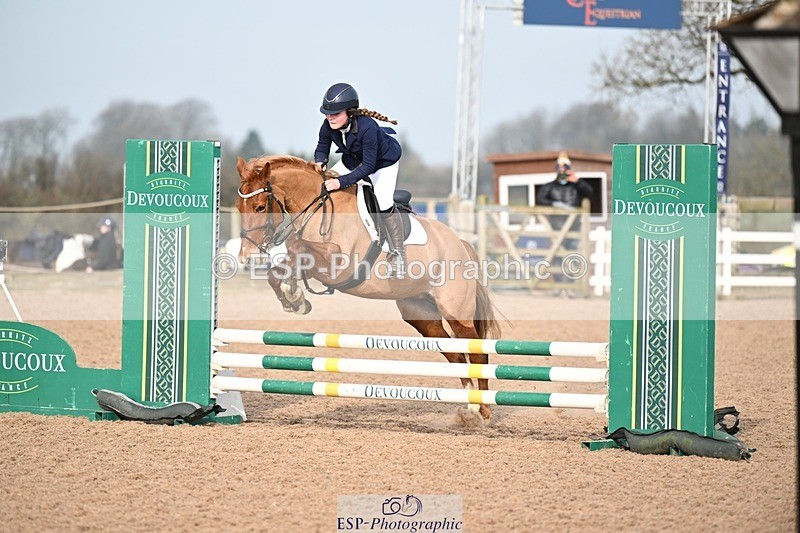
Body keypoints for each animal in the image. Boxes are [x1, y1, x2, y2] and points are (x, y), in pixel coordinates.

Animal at [235, 155, 502, 422]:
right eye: (239, 207)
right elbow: (281, 268)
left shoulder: (338, 264)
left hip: (457, 312)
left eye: (260, 207)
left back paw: (484, 411)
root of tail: (460, 242)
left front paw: (295, 295)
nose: (246, 257)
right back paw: (470, 407)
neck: (318, 207)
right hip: (422, 316)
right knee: (455, 353)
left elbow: (297, 248)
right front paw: (295, 300)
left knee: (477, 351)